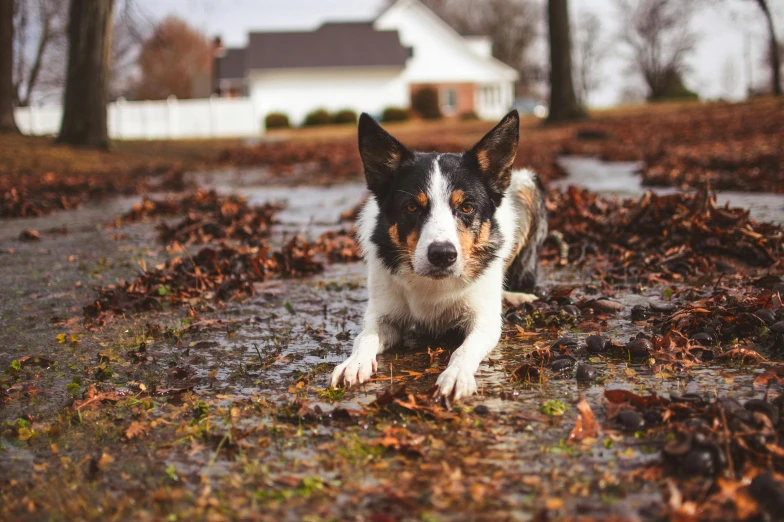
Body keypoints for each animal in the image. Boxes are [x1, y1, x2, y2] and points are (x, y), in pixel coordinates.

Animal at [330, 107, 544, 396]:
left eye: (467, 207)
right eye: (411, 207)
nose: (442, 255)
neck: (433, 285)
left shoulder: (484, 321)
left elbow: (464, 349)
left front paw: (456, 374)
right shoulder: (383, 316)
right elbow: (365, 337)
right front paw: (354, 363)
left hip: (526, 183)